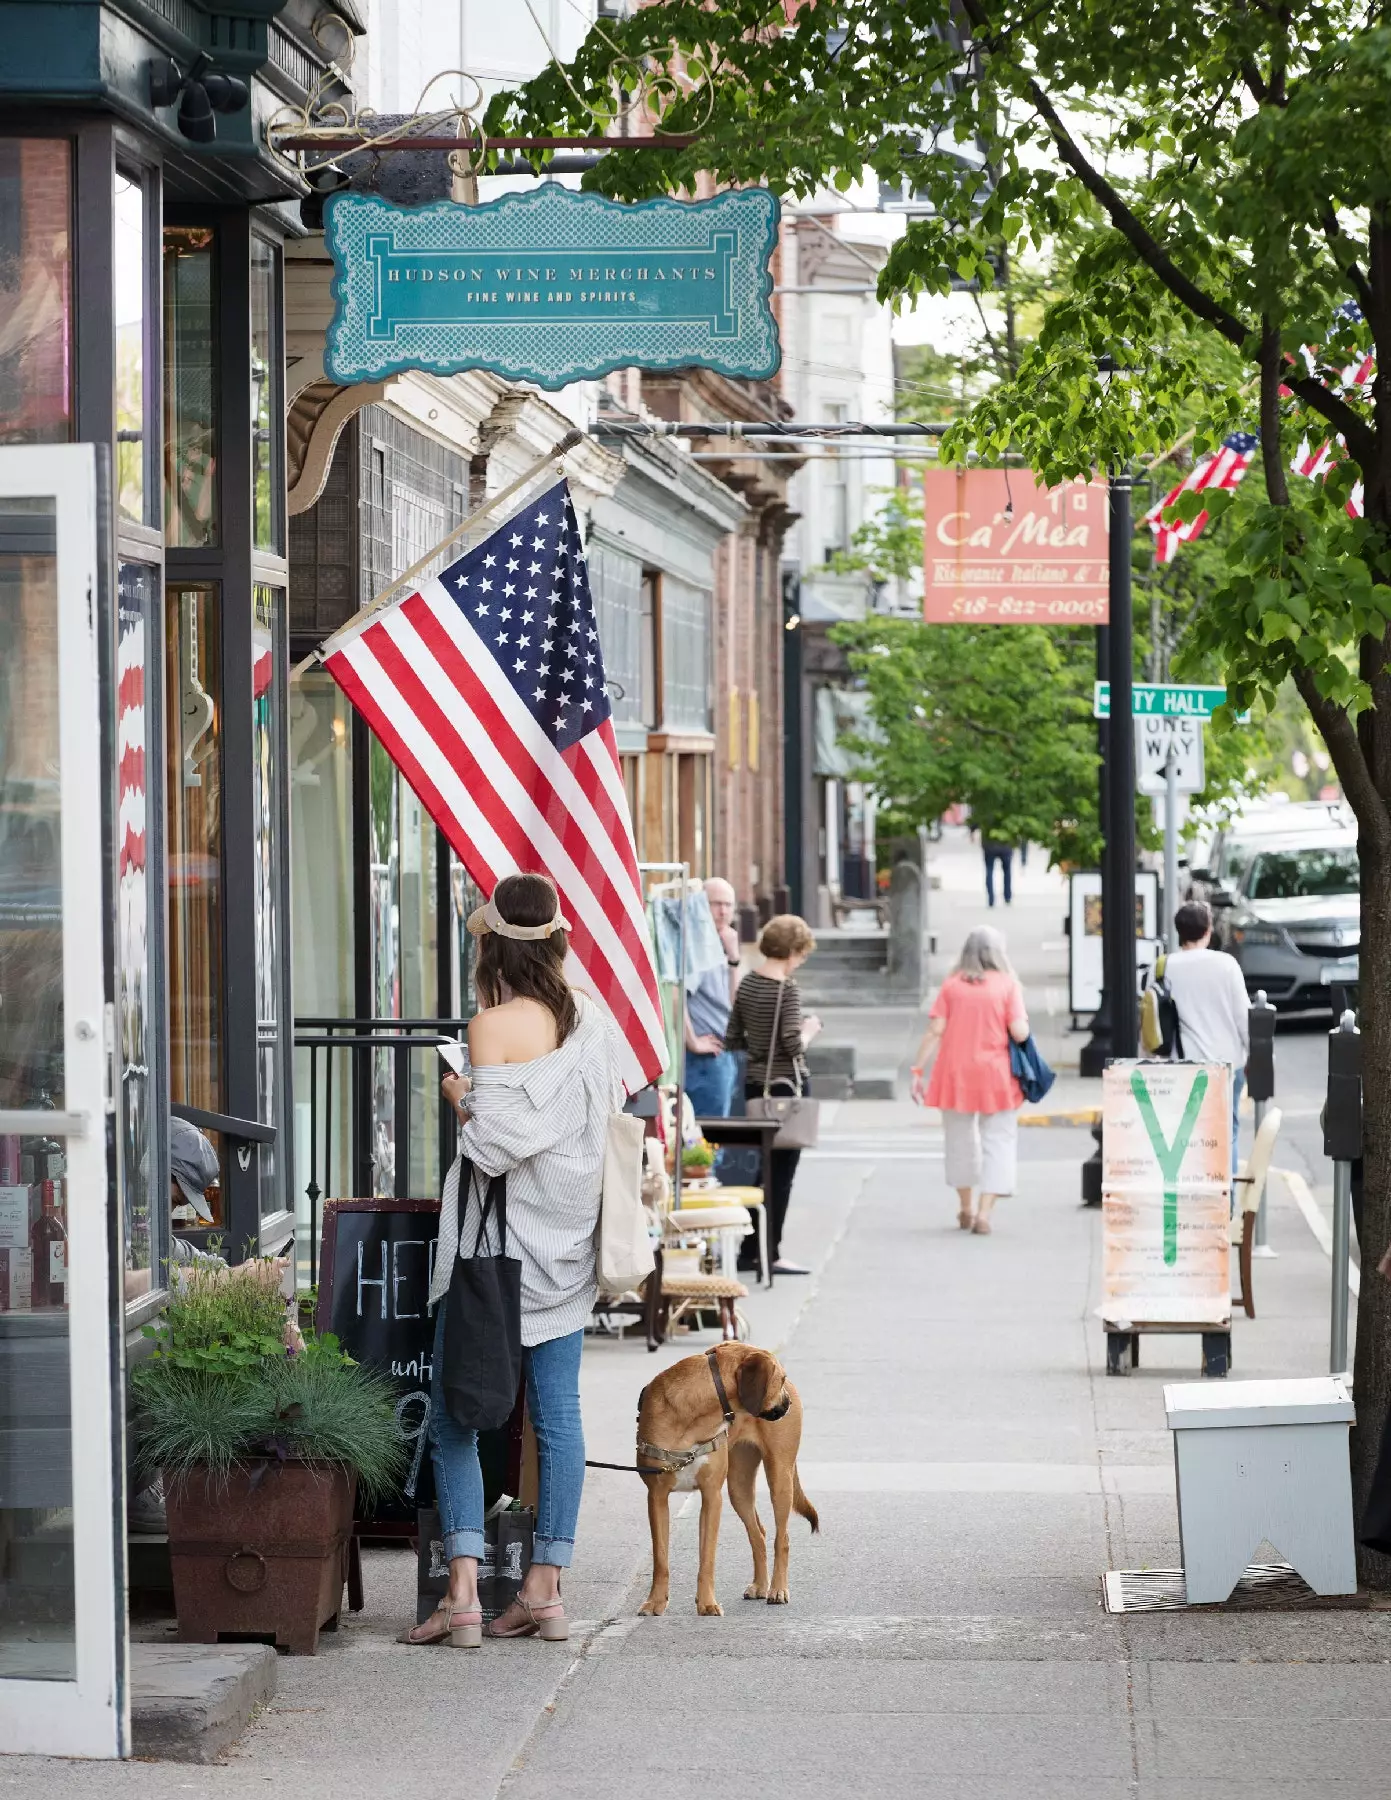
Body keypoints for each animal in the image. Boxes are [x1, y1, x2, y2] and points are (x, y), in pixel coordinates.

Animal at [637, 1339, 820, 1620]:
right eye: (780, 1378)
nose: (787, 1404)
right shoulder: (656, 1497)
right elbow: (660, 1558)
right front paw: (655, 1602)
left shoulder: (711, 1496)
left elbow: (707, 1558)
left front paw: (707, 1604)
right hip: (738, 1487)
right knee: (758, 1534)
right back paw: (760, 1585)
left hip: (780, 1477)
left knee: (782, 1538)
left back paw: (777, 1589)